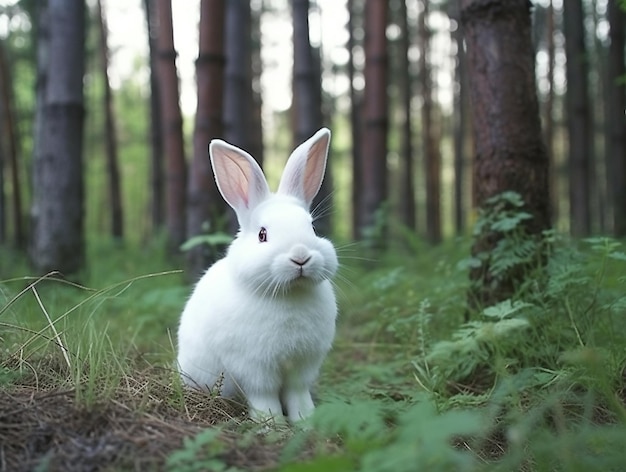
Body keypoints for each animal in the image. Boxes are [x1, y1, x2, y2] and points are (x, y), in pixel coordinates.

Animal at [177, 127, 336, 422]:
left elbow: (297, 393)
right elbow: (265, 397)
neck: (288, 294)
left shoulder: (303, 365)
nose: (300, 256)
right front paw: (272, 425)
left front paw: (306, 422)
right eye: (262, 234)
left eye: (312, 228)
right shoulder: (254, 368)